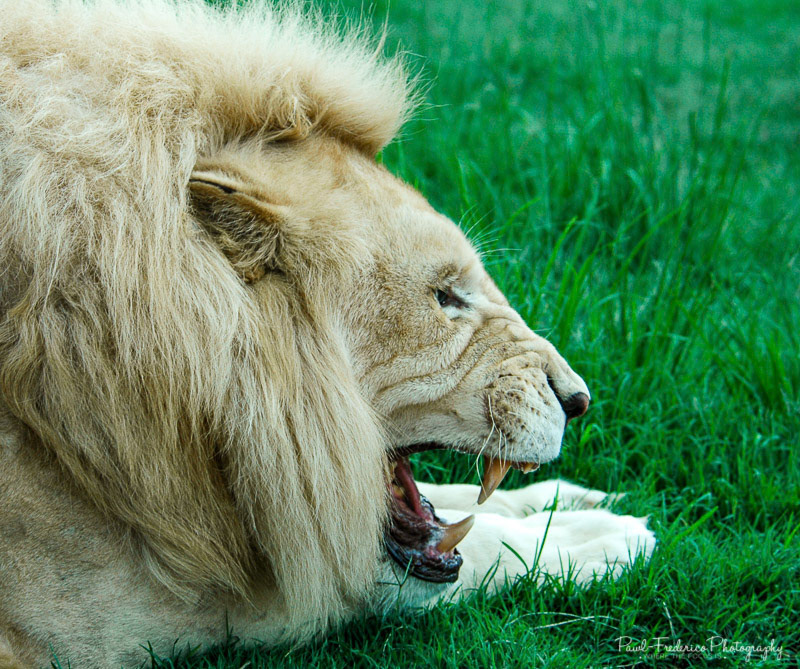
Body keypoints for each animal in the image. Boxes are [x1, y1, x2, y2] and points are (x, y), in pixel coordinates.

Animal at [0, 1, 655, 667]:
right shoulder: (116, 609)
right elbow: (438, 554)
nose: (579, 400)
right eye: (444, 297)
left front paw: (567, 499)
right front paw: (592, 540)